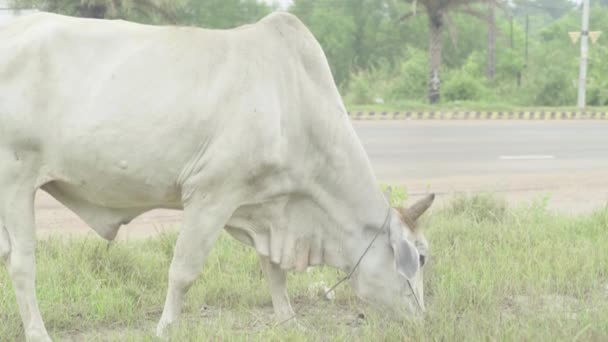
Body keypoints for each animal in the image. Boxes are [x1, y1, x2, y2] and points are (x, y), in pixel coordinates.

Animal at [0, 12, 432, 340]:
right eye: (423, 258)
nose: (422, 321)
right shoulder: (212, 193)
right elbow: (183, 272)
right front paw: (165, 329)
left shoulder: (268, 204)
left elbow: (273, 271)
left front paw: (290, 322)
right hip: (15, 178)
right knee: (21, 263)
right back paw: (38, 333)